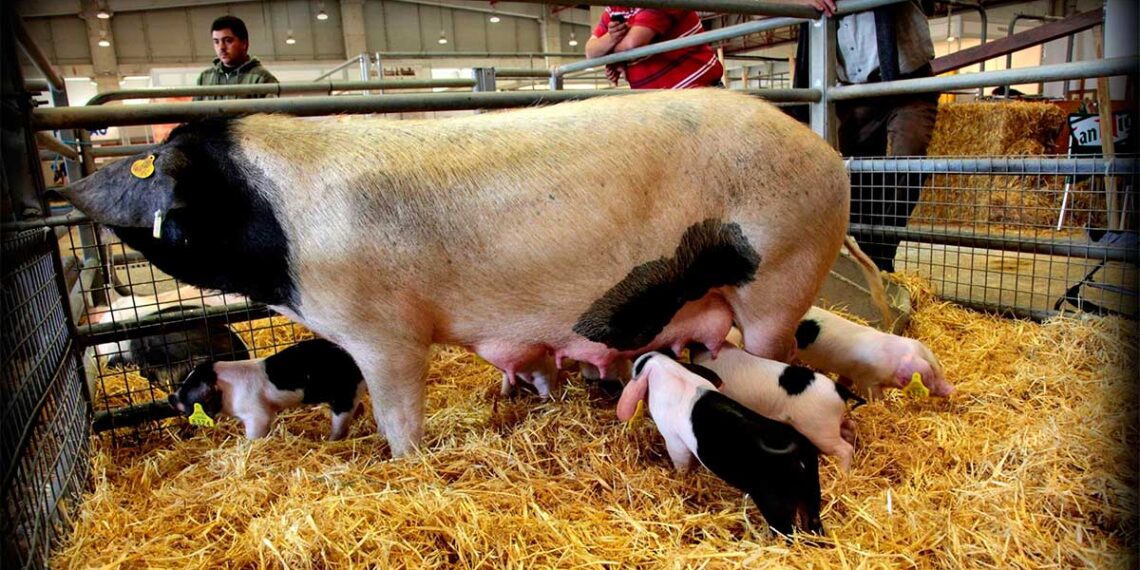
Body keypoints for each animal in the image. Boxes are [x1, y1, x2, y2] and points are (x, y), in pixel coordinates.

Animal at [169, 338, 366, 440]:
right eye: (186, 379)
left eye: (189, 387)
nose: (171, 397)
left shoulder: (256, 414)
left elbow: (255, 433)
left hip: (344, 395)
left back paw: (329, 440)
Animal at [617, 351, 824, 537]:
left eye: (637, 368)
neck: (666, 369)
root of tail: (799, 454)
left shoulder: (673, 438)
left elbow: (680, 461)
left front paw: (679, 476)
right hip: (812, 488)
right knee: (813, 521)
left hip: (775, 499)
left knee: (787, 531)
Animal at [690, 344, 865, 470]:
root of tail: (841, 391)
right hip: (832, 423)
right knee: (850, 426)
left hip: (820, 429)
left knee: (845, 449)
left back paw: (842, 474)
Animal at [794, 306, 953, 398]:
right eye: (931, 375)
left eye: (938, 366)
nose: (952, 389)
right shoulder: (866, 379)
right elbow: (876, 397)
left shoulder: (848, 372)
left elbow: (844, 382)